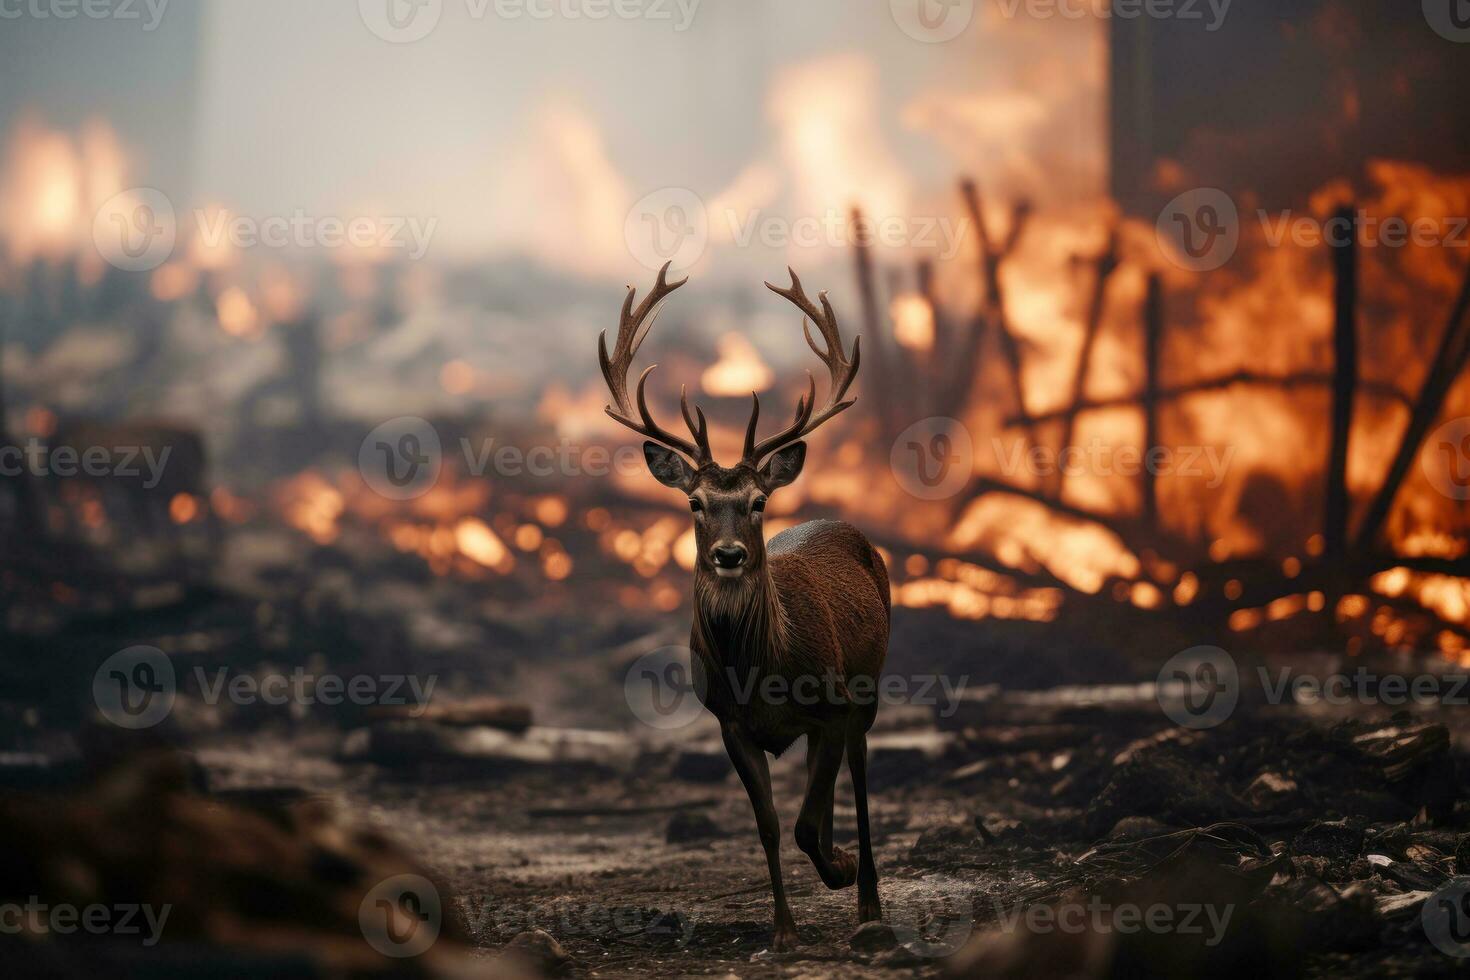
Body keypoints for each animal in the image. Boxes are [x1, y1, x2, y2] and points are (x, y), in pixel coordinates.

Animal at [599, 260, 893, 952]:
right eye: (695, 502)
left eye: (758, 501)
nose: (729, 554)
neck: (762, 669)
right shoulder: (730, 722)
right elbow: (768, 824)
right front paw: (782, 930)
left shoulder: (833, 702)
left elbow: (807, 822)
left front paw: (843, 872)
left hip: (867, 685)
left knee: (862, 775)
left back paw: (867, 897)